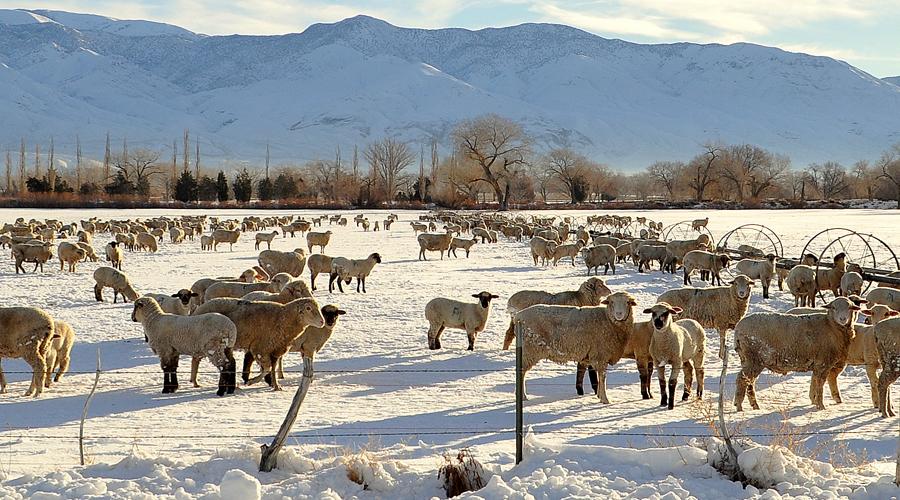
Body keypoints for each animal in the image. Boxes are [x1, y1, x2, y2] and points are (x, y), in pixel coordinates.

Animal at [192, 296, 326, 390]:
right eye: (308, 308)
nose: (322, 322)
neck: (284, 318)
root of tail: (198, 309)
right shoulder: (260, 348)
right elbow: (266, 368)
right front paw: (251, 381)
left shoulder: (275, 349)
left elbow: (272, 369)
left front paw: (276, 386)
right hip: (209, 342)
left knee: (198, 358)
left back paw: (195, 381)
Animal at [512, 292, 640, 402]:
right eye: (611, 302)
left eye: (627, 302)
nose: (619, 314)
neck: (608, 320)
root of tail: (518, 316)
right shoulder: (601, 355)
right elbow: (602, 377)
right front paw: (605, 399)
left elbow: (599, 378)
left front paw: (599, 395)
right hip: (529, 350)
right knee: (521, 371)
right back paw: (523, 396)